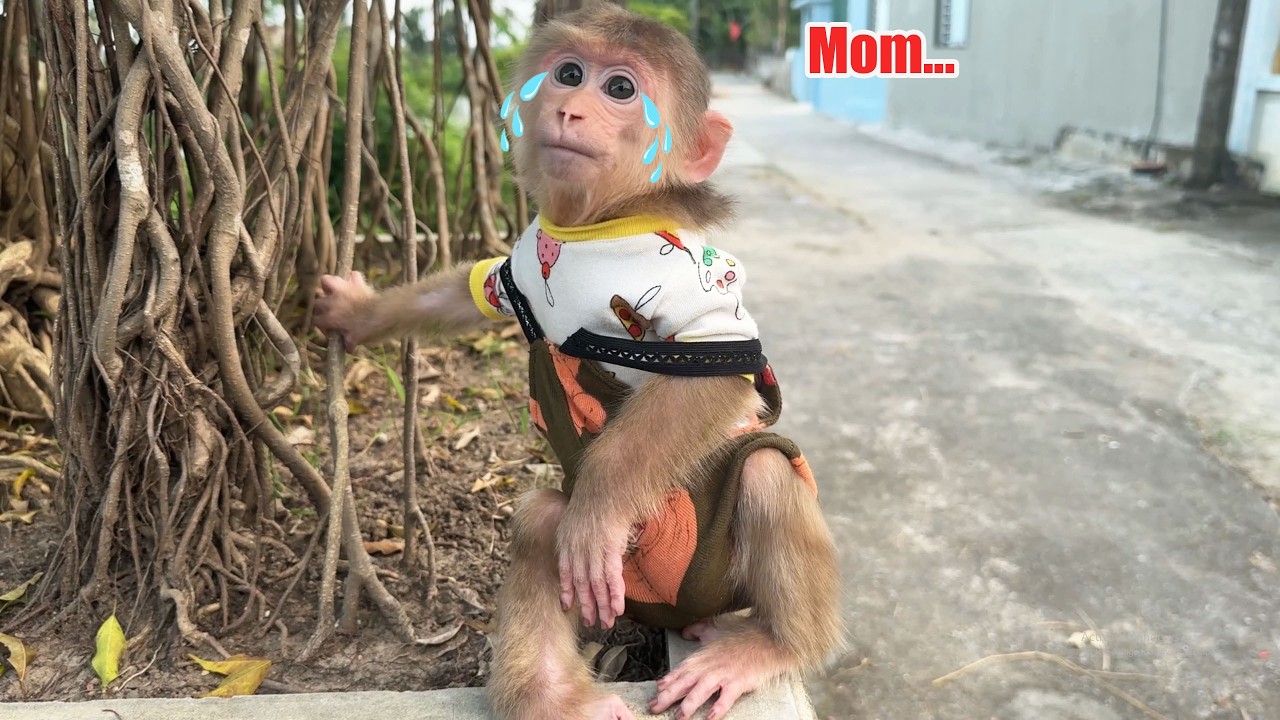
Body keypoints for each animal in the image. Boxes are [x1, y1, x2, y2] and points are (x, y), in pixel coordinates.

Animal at [313, 5, 844, 720]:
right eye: (568, 73)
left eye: (620, 89)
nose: (568, 108)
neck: (595, 227)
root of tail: (681, 615)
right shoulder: (522, 261)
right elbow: (471, 292)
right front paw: (357, 311)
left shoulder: (680, 279)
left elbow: (715, 370)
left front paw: (596, 513)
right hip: (631, 592)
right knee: (542, 523)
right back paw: (554, 695)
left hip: (712, 570)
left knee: (764, 471)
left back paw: (771, 646)